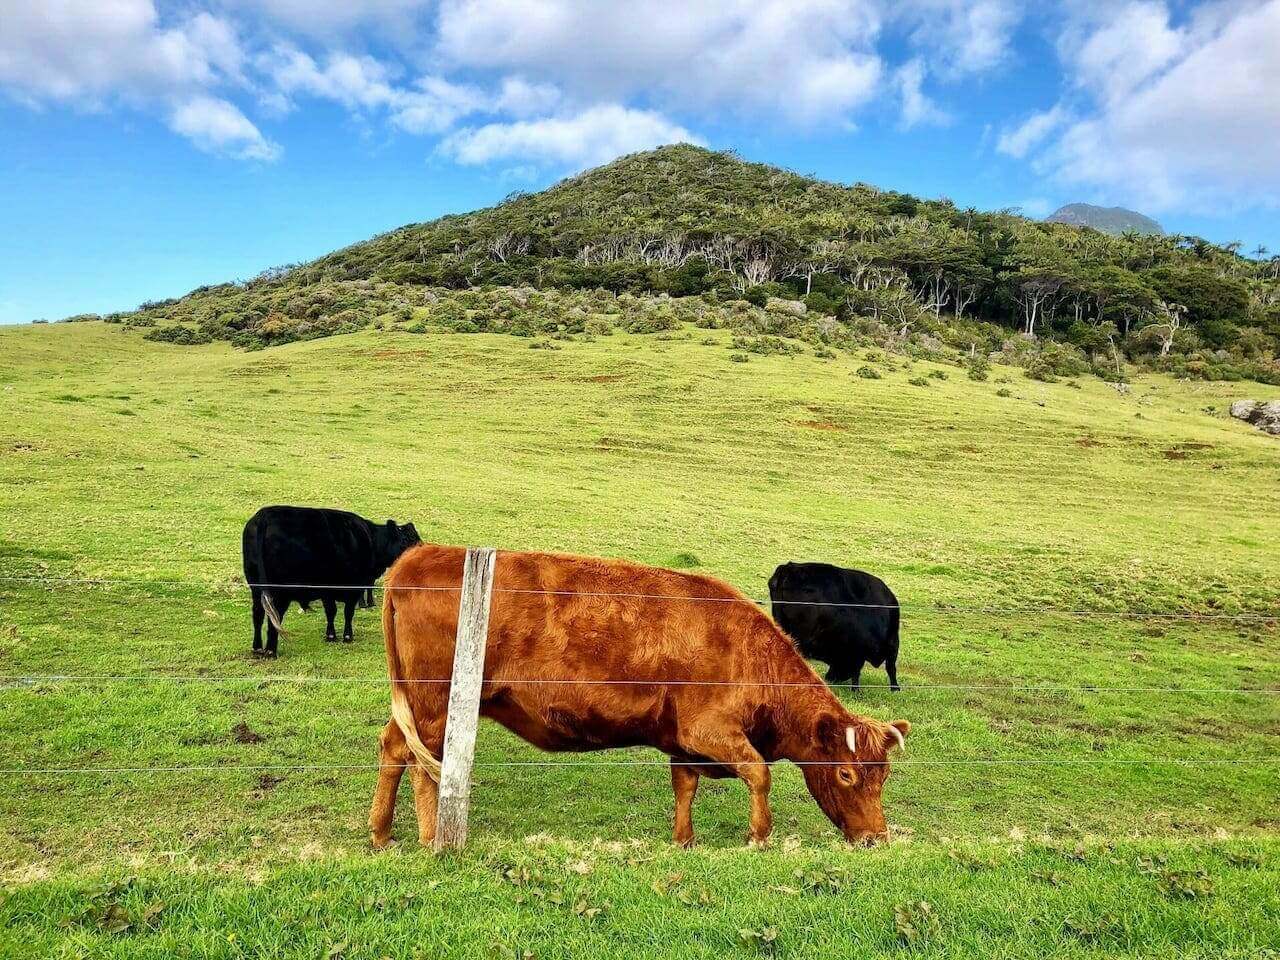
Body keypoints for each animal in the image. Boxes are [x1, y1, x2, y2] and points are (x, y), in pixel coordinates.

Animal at [242, 505, 421, 657]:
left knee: (257, 613)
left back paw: (257, 648)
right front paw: (347, 636)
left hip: (256, 588)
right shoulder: (353, 587)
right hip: (280, 592)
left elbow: (331, 611)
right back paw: (271, 651)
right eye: (408, 539)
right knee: (275, 617)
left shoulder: (327, 589)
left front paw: (331, 635)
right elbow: (348, 612)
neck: (369, 539)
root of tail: (264, 515)